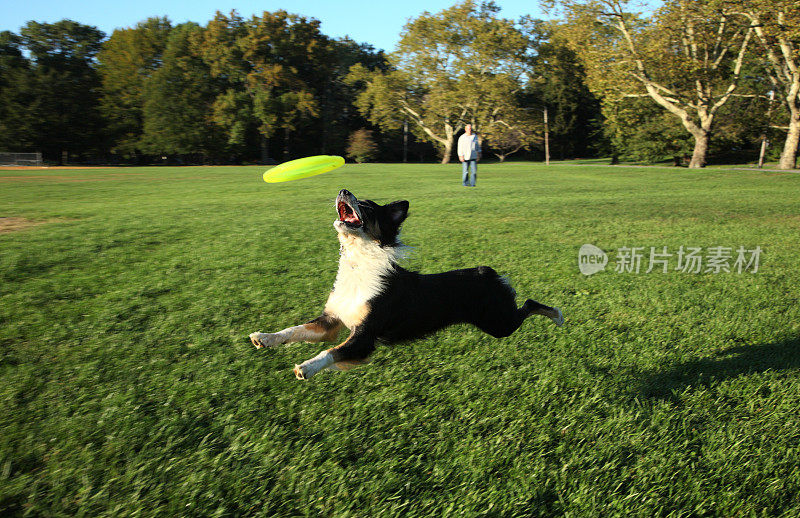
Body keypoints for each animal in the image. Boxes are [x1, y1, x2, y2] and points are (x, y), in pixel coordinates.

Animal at [250, 189, 564, 380]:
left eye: (367, 207)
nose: (343, 190)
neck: (358, 263)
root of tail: (486, 272)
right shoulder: (331, 321)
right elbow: (294, 330)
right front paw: (264, 337)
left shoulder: (364, 338)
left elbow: (330, 352)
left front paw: (306, 367)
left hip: (499, 324)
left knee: (529, 304)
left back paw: (558, 316)